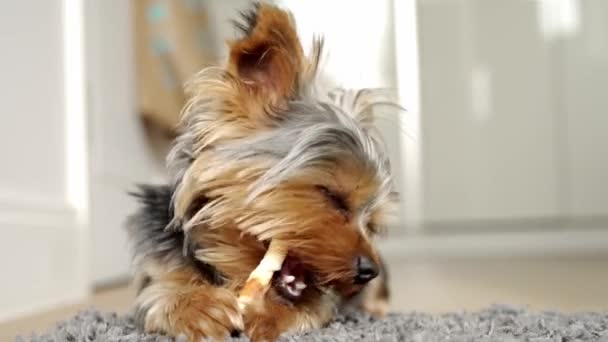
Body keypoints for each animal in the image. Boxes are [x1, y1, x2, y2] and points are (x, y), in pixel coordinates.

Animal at [126, 2, 396, 340]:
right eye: (332, 196)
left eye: (372, 225)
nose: (369, 270)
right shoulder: (157, 270)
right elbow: (157, 295)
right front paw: (201, 307)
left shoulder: (320, 302)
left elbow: (307, 308)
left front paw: (262, 317)